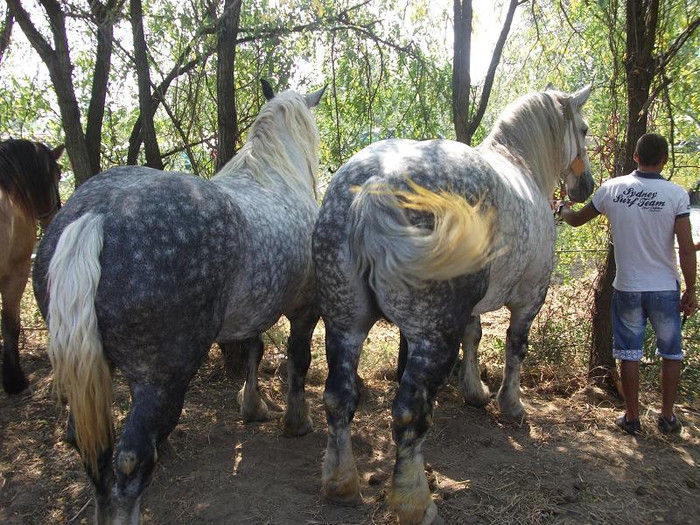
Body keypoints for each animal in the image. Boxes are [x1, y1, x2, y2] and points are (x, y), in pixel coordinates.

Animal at [32, 80, 326, 520]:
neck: (273, 175)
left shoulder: (252, 311)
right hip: (164, 378)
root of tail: (97, 214)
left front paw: (252, 406)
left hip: (99, 373)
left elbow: (254, 351)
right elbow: (298, 359)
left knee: (92, 452)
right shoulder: (304, 310)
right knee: (131, 459)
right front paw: (295, 420)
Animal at [314, 85, 592, 520]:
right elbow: (516, 347)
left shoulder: (470, 309)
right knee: (408, 413)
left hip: (344, 325)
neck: (521, 166)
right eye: (583, 129)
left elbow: (474, 336)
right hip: (431, 337)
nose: (587, 186)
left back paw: (341, 484)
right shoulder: (531, 296)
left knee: (339, 397)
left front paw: (474, 392)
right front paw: (511, 405)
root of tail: (376, 184)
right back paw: (416, 503)